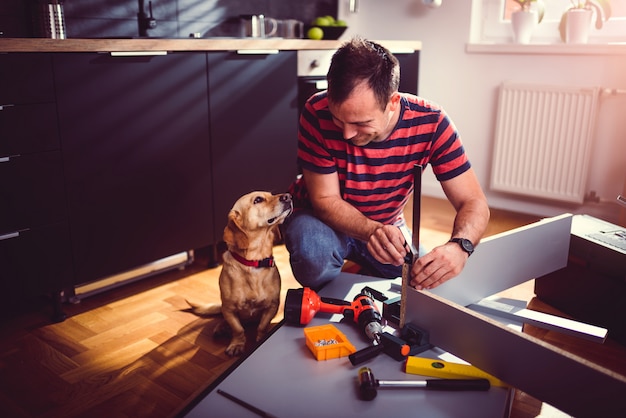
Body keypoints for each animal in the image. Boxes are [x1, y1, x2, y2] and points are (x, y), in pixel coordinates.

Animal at [185, 191, 292, 354]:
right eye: (258, 199)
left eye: (271, 194)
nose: (288, 196)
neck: (254, 263)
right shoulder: (229, 310)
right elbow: (238, 329)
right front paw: (237, 344)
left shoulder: (272, 306)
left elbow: (262, 326)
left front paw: (261, 338)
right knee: (225, 321)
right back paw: (221, 327)